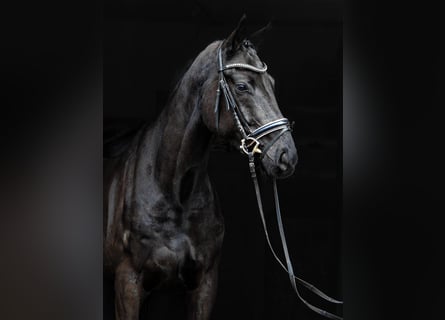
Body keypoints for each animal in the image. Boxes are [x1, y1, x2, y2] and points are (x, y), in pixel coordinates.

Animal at [104, 16, 296, 318]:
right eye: (242, 86)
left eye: (272, 83)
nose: (286, 155)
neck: (174, 189)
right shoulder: (128, 284)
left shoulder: (204, 284)